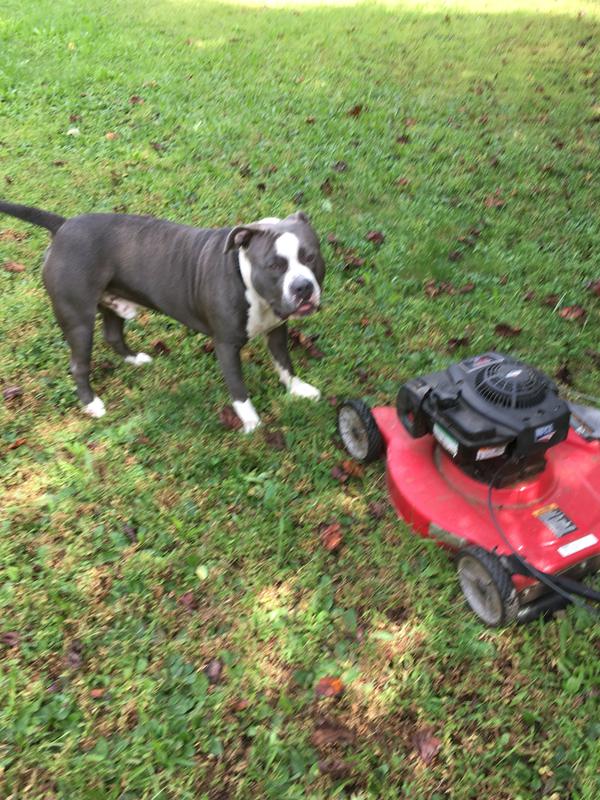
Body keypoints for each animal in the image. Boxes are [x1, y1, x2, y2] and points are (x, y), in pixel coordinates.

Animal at [0, 200, 326, 432]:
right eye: (274, 266)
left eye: (310, 257)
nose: (303, 287)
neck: (249, 283)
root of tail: (64, 225)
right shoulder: (226, 346)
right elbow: (238, 390)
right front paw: (251, 422)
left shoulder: (278, 329)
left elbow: (284, 363)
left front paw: (297, 389)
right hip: (77, 318)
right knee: (79, 364)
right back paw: (91, 404)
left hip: (112, 302)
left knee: (112, 335)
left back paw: (135, 360)